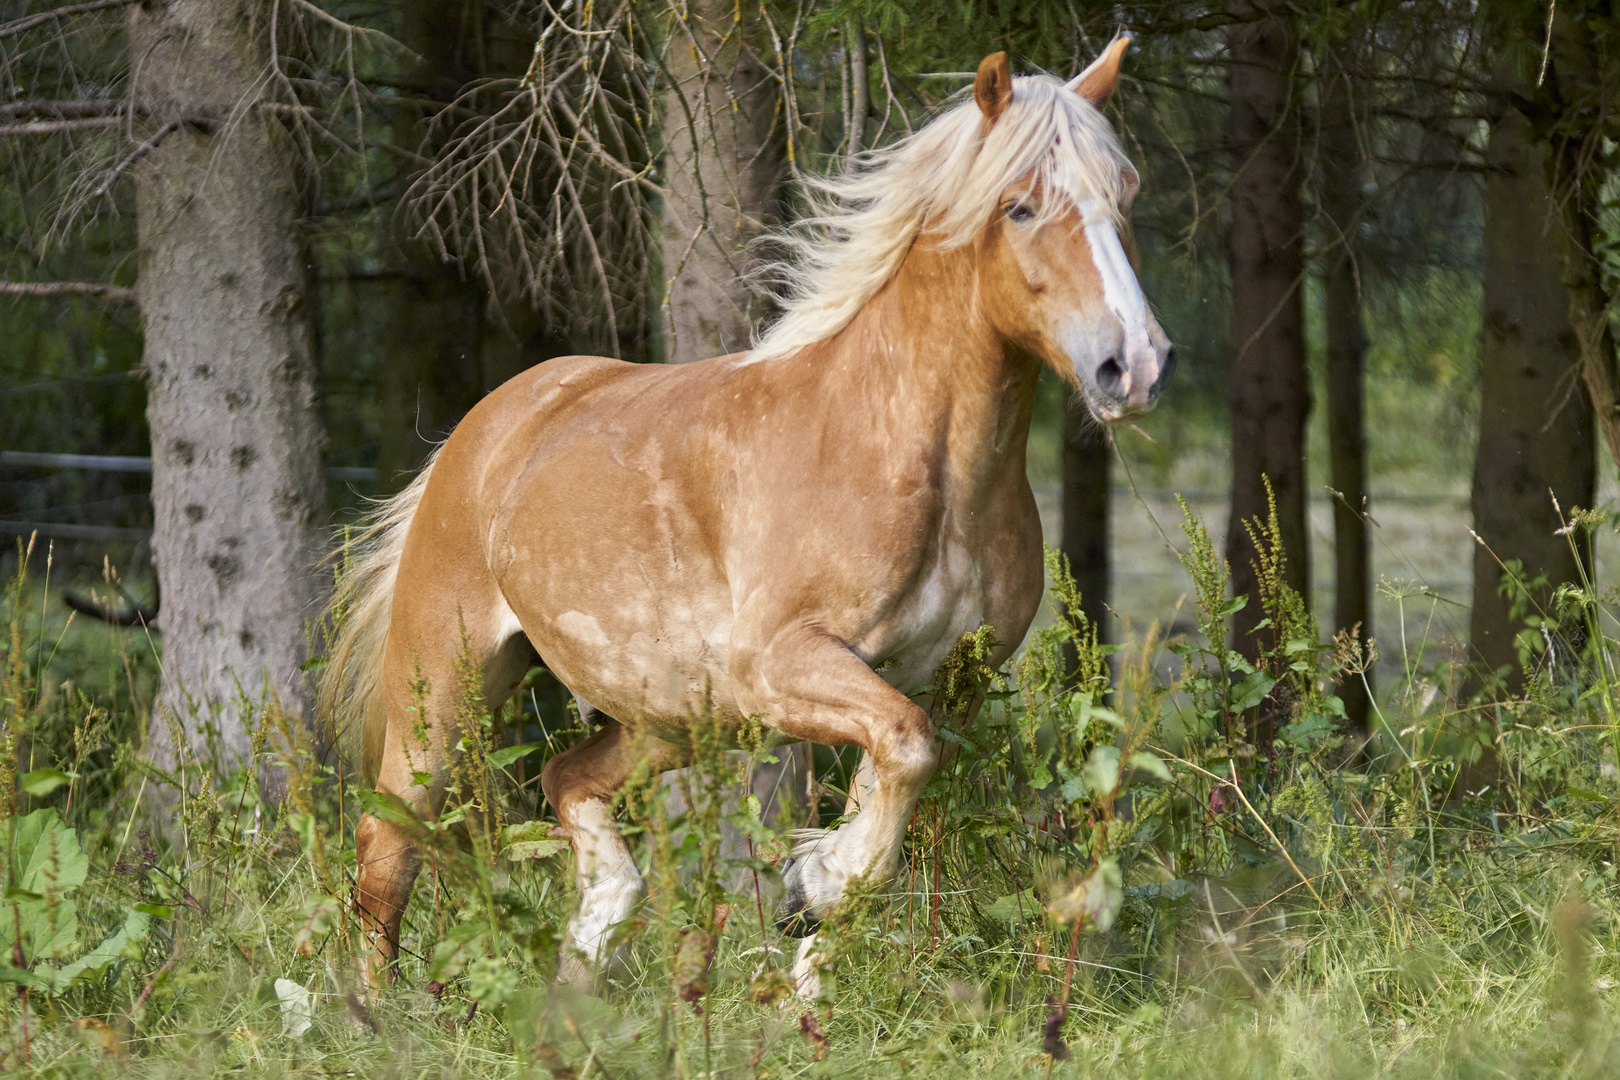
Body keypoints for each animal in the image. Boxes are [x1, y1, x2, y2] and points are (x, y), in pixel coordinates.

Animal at [319, 38, 1179, 990]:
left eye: (1125, 194)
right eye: (1021, 206)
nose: (1135, 366)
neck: (906, 458)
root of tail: (480, 432)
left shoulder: (941, 683)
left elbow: (892, 783)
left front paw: (811, 951)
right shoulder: (787, 665)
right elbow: (901, 756)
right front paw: (818, 883)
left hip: (668, 718)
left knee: (566, 780)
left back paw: (592, 953)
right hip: (445, 692)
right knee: (388, 841)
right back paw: (375, 1010)